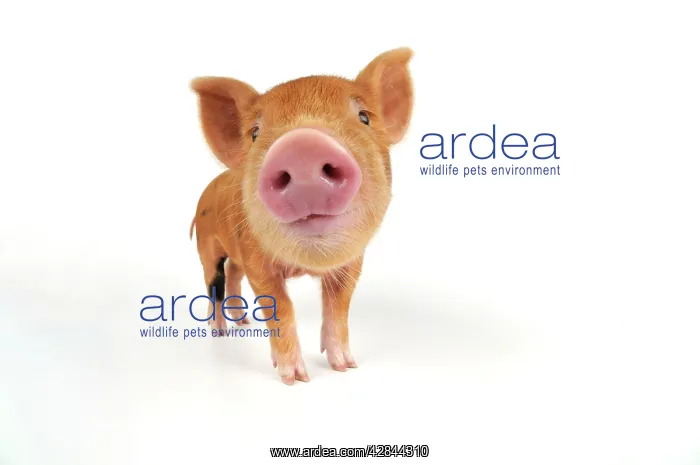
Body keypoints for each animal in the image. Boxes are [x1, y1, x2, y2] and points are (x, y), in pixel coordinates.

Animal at [188, 48, 414, 385]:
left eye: (364, 117)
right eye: (255, 134)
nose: (303, 146)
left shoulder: (352, 263)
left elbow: (338, 308)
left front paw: (345, 367)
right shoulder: (256, 261)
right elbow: (281, 308)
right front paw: (294, 379)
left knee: (232, 274)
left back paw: (243, 323)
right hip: (206, 244)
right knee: (214, 282)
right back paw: (219, 333)